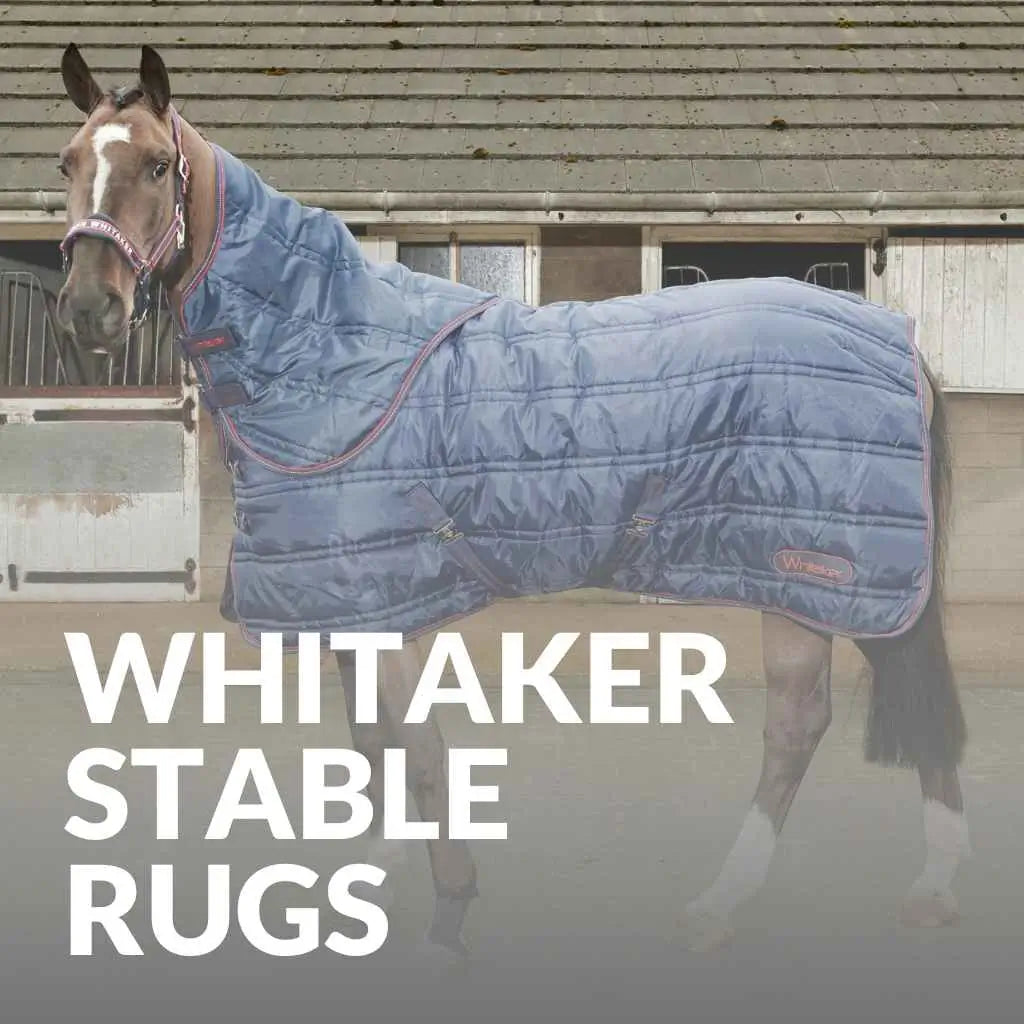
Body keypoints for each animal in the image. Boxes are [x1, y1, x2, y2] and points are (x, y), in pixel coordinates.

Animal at [54, 44, 969, 963]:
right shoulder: (354, 608)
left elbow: (419, 755)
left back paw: (814, 896)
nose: (91, 310)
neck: (324, 355)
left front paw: (450, 915)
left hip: (818, 578)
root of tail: (893, 338)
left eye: (158, 164)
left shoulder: (389, 612)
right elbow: (373, 751)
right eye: (67, 164)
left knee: (807, 721)